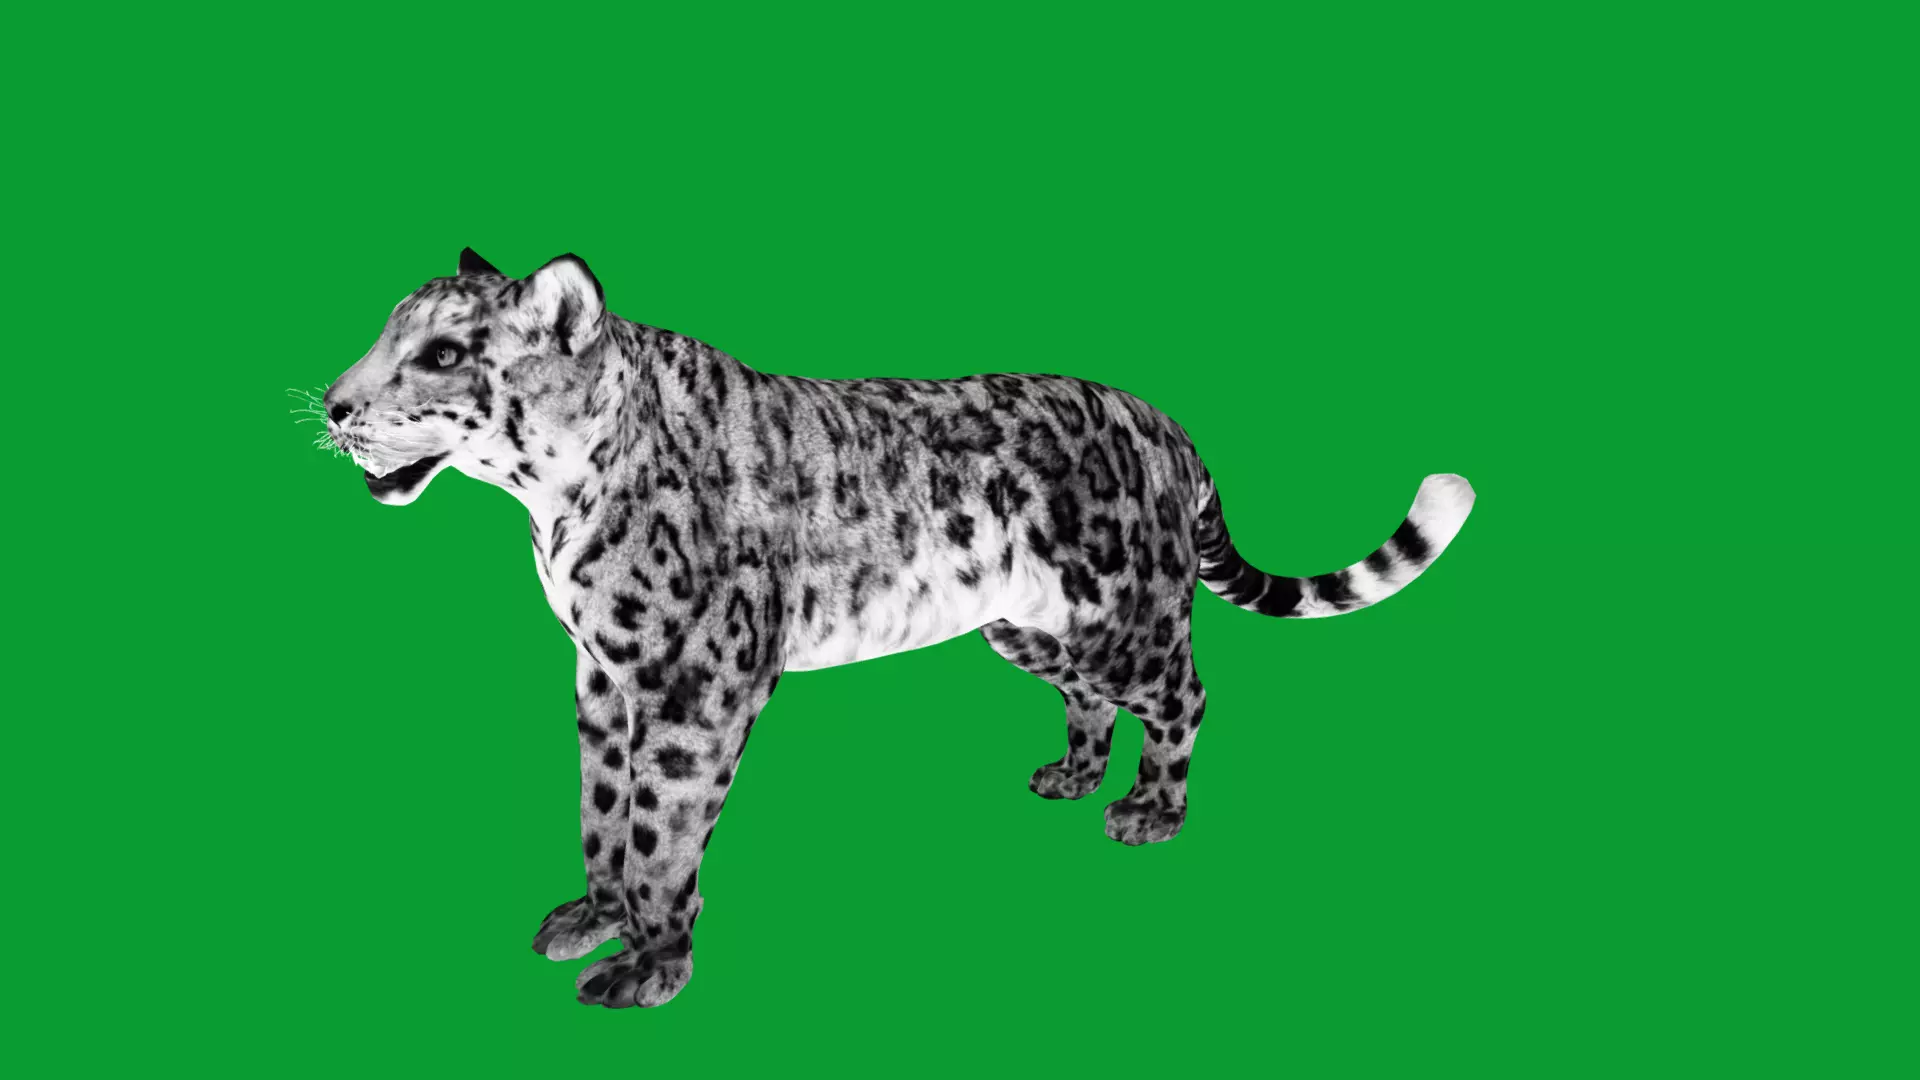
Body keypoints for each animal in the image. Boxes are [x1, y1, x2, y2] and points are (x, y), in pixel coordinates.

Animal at [319, 249, 1476, 1008]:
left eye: (444, 355)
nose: (331, 408)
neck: (551, 499)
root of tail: (1162, 424)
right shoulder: (602, 678)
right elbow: (601, 806)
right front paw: (592, 916)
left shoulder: (699, 690)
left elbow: (660, 833)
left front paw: (651, 965)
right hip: (1031, 628)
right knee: (1089, 696)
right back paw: (1072, 777)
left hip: (1124, 612)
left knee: (1183, 693)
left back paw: (1151, 810)